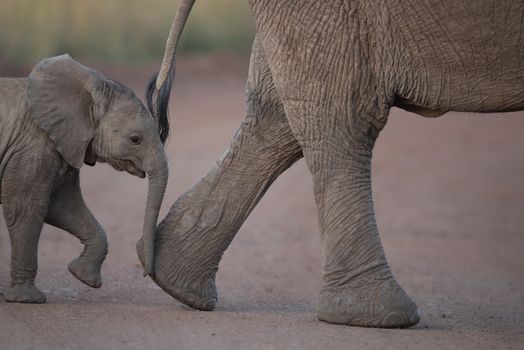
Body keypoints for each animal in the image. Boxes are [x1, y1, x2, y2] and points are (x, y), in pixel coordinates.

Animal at [0, 54, 168, 304]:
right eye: (135, 139)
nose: (147, 273)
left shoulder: (65, 143)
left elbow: (61, 206)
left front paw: (82, 276)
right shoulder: (33, 146)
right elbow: (26, 208)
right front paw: (27, 299)